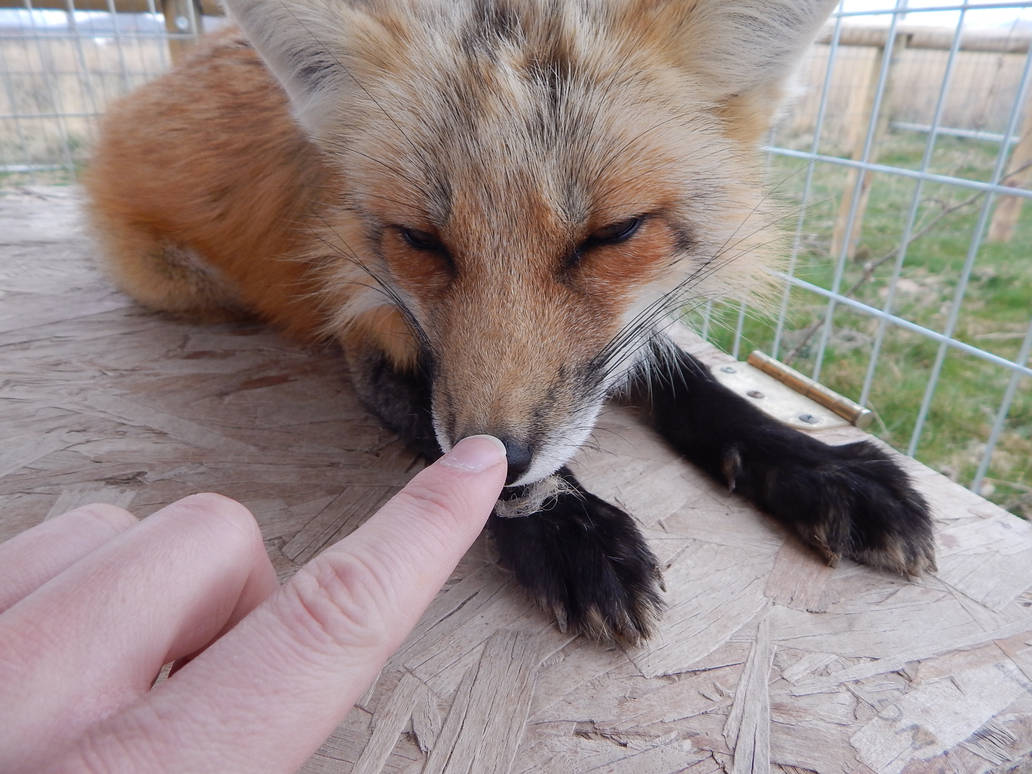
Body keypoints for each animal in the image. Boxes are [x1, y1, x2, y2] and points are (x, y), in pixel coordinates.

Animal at [84, 0, 936, 642]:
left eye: (613, 234)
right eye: (419, 240)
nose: (511, 456)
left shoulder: (624, 337)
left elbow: (695, 383)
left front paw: (817, 466)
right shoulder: (372, 344)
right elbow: (450, 442)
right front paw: (571, 529)